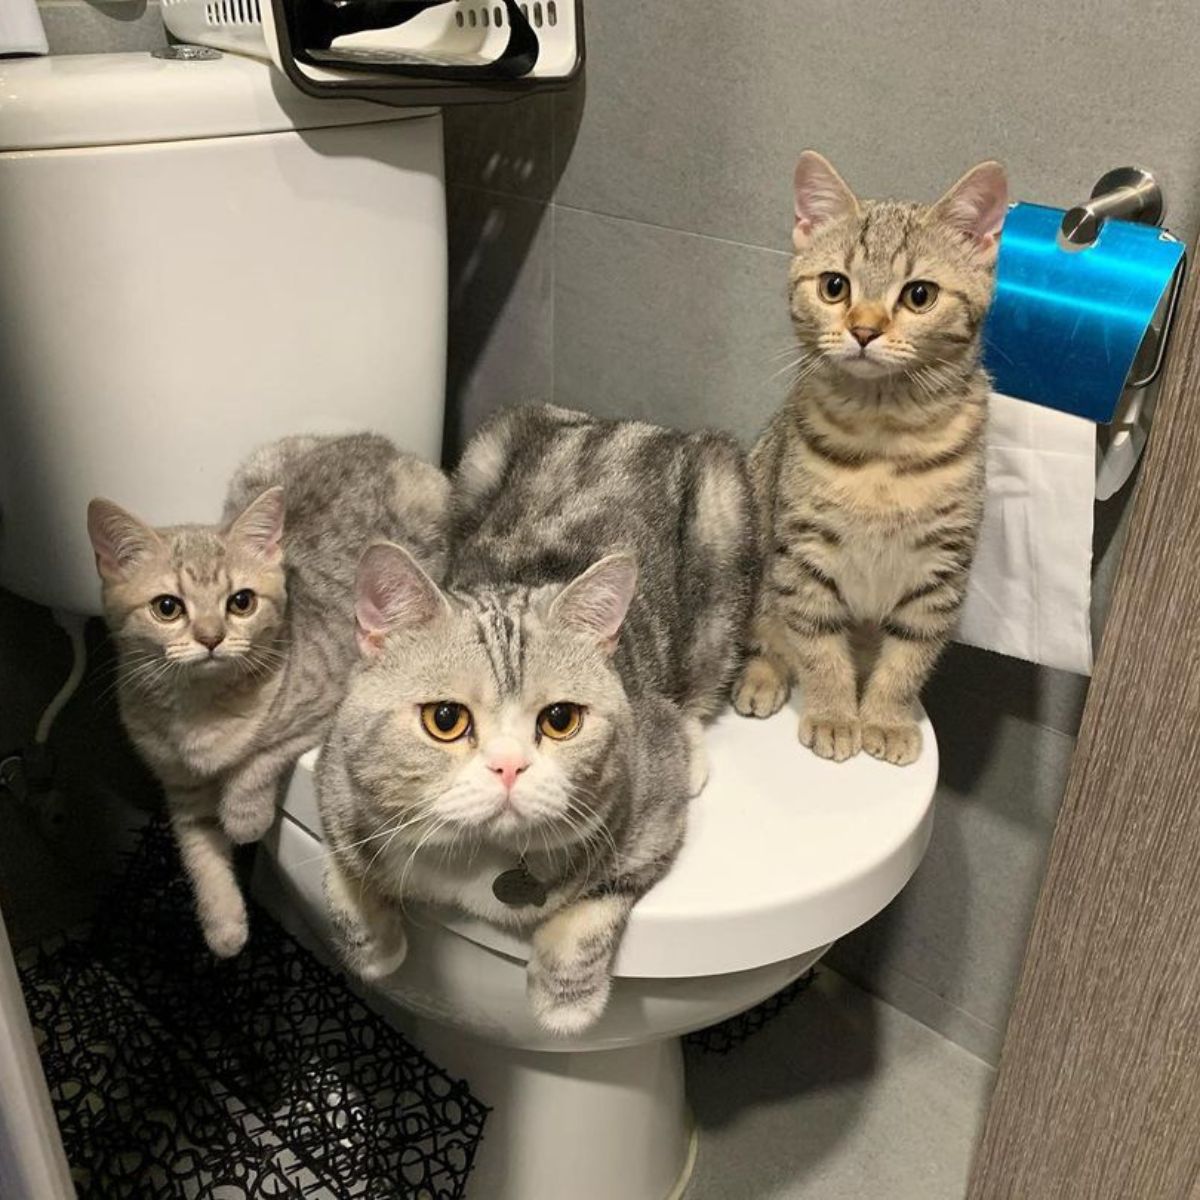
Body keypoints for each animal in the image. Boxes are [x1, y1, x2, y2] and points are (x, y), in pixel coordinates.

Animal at [87, 436, 448, 960]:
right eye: (167, 608)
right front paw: (224, 924)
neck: (202, 709)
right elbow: (199, 853)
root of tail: (377, 442)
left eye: (241, 602)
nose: (211, 638)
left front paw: (244, 816)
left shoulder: (326, 702)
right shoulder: (179, 783)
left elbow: (262, 753)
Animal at [314, 408, 753, 1036]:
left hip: (724, 531)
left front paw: (564, 999)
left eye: (561, 719)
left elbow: (593, 907)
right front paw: (375, 945)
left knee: (701, 681)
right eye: (444, 719)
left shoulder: (652, 806)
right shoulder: (332, 778)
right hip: (479, 459)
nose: (509, 766)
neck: (471, 863)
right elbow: (344, 868)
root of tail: (632, 423)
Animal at [734, 154, 1008, 763]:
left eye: (920, 295)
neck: (884, 438)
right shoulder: (804, 556)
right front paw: (836, 714)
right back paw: (763, 676)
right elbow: (818, 647)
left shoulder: (940, 571)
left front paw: (884, 718)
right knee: (768, 633)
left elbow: (909, 657)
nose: (863, 329)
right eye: (834, 286)